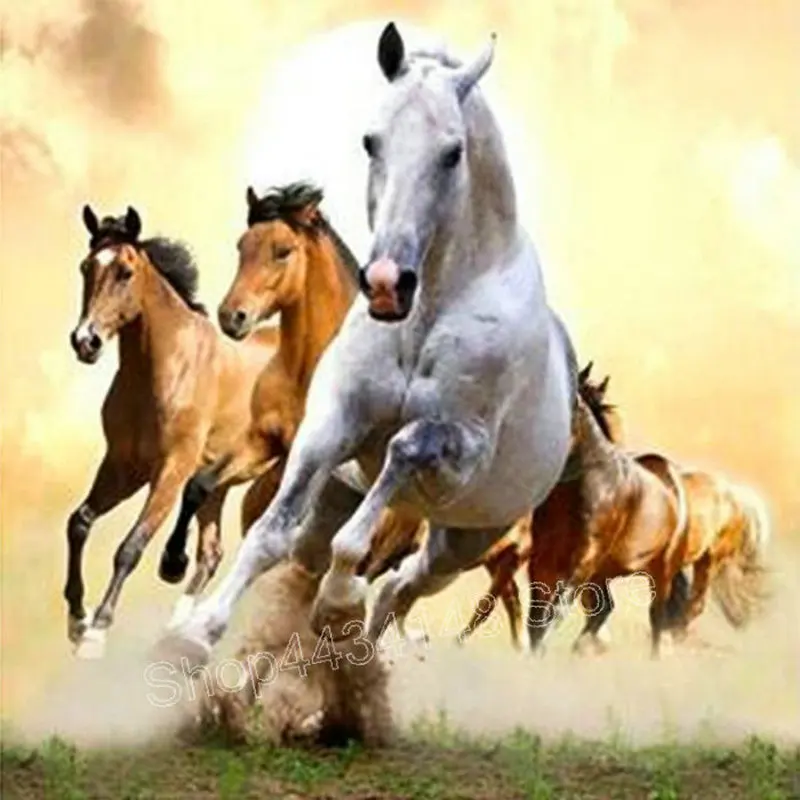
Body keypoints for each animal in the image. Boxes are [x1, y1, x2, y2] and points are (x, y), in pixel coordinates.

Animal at [66, 205, 274, 658]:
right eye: (86, 267)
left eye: (125, 272)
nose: (85, 341)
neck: (163, 369)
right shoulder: (123, 466)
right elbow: (80, 522)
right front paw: (76, 618)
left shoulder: (171, 470)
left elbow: (131, 546)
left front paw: (96, 630)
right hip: (223, 484)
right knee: (212, 551)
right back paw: (180, 627)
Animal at [161, 22, 578, 666]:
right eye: (370, 142)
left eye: (453, 152)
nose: (386, 283)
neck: (424, 315)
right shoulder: (331, 423)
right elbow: (270, 533)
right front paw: (198, 631)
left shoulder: (462, 450)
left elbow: (396, 462)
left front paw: (337, 596)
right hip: (364, 504)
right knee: (359, 574)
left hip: (463, 539)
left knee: (402, 585)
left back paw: (348, 627)